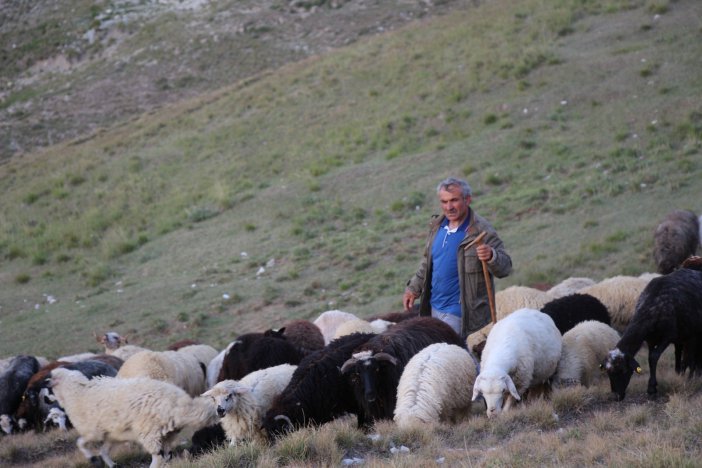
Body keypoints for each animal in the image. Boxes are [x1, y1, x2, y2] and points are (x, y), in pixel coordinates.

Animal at [48, 370, 219, 468]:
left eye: (51, 380)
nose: (49, 398)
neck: (78, 394)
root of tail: (179, 402)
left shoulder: (93, 432)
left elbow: (80, 443)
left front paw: (93, 460)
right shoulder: (112, 435)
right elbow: (104, 450)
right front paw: (111, 464)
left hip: (149, 432)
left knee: (158, 457)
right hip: (168, 433)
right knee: (166, 455)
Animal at [604, 266, 702, 400]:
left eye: (623, 370)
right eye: (608, 373)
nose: (617, 396)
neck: (652, 307)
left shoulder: (668, 336)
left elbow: (654, 356)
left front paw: (651, 388)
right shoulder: (651, 339)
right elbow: (651, 358)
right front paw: (653, 387)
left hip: (693, 333)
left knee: (692, 355)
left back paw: (692, 377)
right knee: (682, 353)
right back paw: (682, 373)